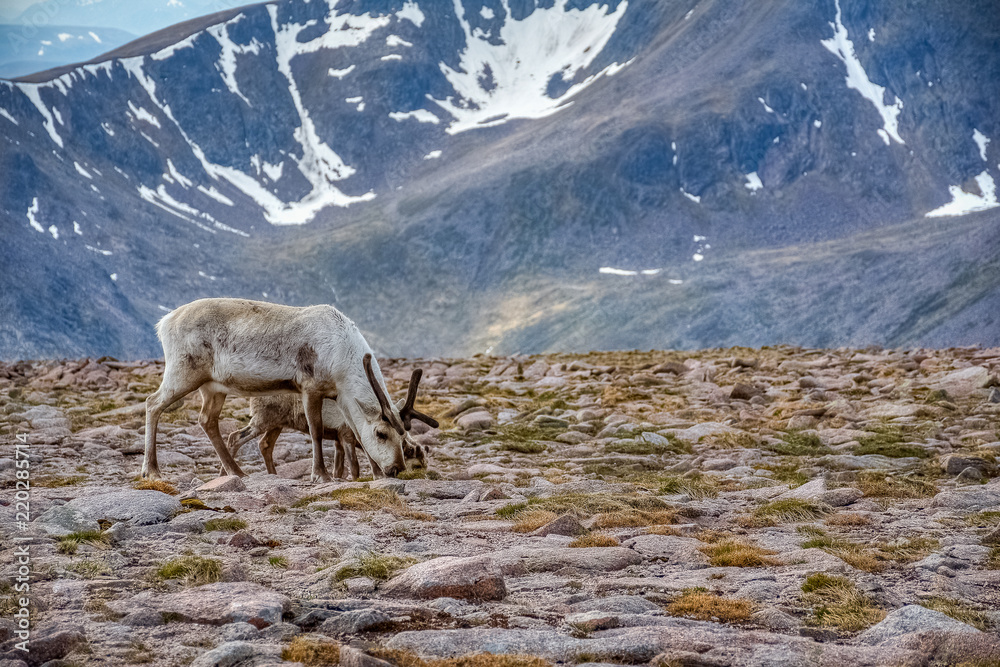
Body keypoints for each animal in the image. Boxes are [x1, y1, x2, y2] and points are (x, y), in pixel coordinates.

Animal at [223, 369, 437, 479]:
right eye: (418, 464)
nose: (399, 471)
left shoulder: (337, 439)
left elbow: (339, 469)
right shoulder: (346, 434)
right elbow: (355, 466)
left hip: (277, 423)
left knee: (264, 444)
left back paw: (272, 474)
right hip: (263, 419)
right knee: (235, 437)